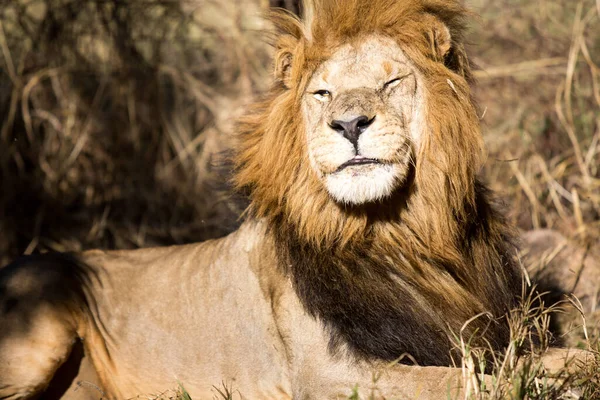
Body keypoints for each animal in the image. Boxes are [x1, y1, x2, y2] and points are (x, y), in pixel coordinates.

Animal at [0, 0, 592, 400]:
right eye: (322, 93)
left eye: (392, 81)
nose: (349, 124)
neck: (397, 231)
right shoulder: (331, 376)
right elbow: (475, 382)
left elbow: (568, 356)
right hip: (44, 310)